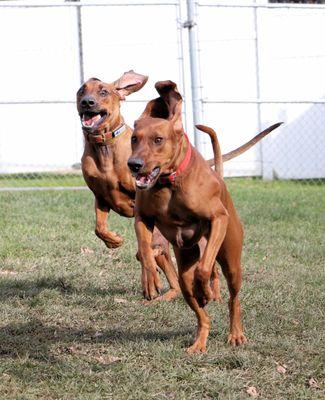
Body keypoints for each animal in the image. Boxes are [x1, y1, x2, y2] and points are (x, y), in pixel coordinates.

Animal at [127, 79, 280, 352]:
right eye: (134, 139)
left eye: (158, 139)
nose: (133, 164)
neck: (169, 182)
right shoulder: (143, 218)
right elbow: (145, 250)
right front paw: (150, 278)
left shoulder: (218, 219)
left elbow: (204, 269)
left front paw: (206, 290)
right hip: (184, 273)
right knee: (200, 311)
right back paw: (200, 341)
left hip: (232, 260)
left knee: (232, 297)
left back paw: (234, 331)